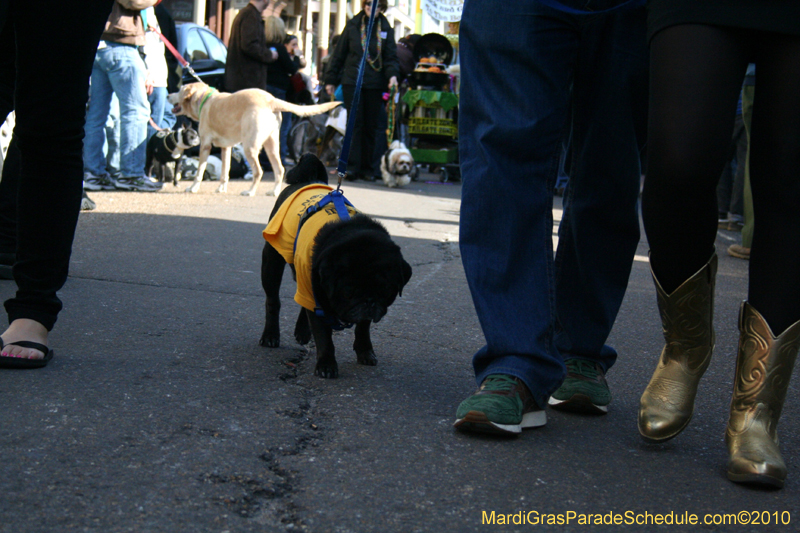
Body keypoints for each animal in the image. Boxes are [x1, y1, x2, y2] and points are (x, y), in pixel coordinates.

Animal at [260, 154, 412, 378]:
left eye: (385, 290)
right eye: (348, 291)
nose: (368, 301)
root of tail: (309, 180)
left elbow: (362, 328)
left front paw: (365, 351)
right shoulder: (317, 293)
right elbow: (324, 337)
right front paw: (326, 364)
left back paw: (302, 330)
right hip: (272, 262)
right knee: (273, 300)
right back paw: (270, 335)